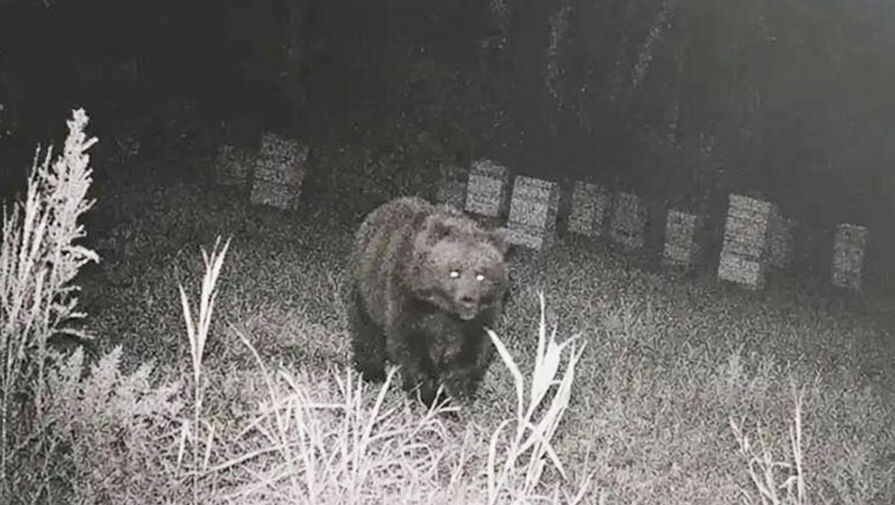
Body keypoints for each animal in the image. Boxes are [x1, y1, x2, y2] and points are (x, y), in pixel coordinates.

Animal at [345, 196, 510, 405]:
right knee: (366, 327)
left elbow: (473, 349)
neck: (443, 309)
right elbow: (412, 347)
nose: (468, 300)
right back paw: (371, 372)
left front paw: (458, 391)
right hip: (366, 285)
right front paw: (430, 395)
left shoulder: (484, 312)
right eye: (454, 272)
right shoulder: (406, 298)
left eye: (481, 275)